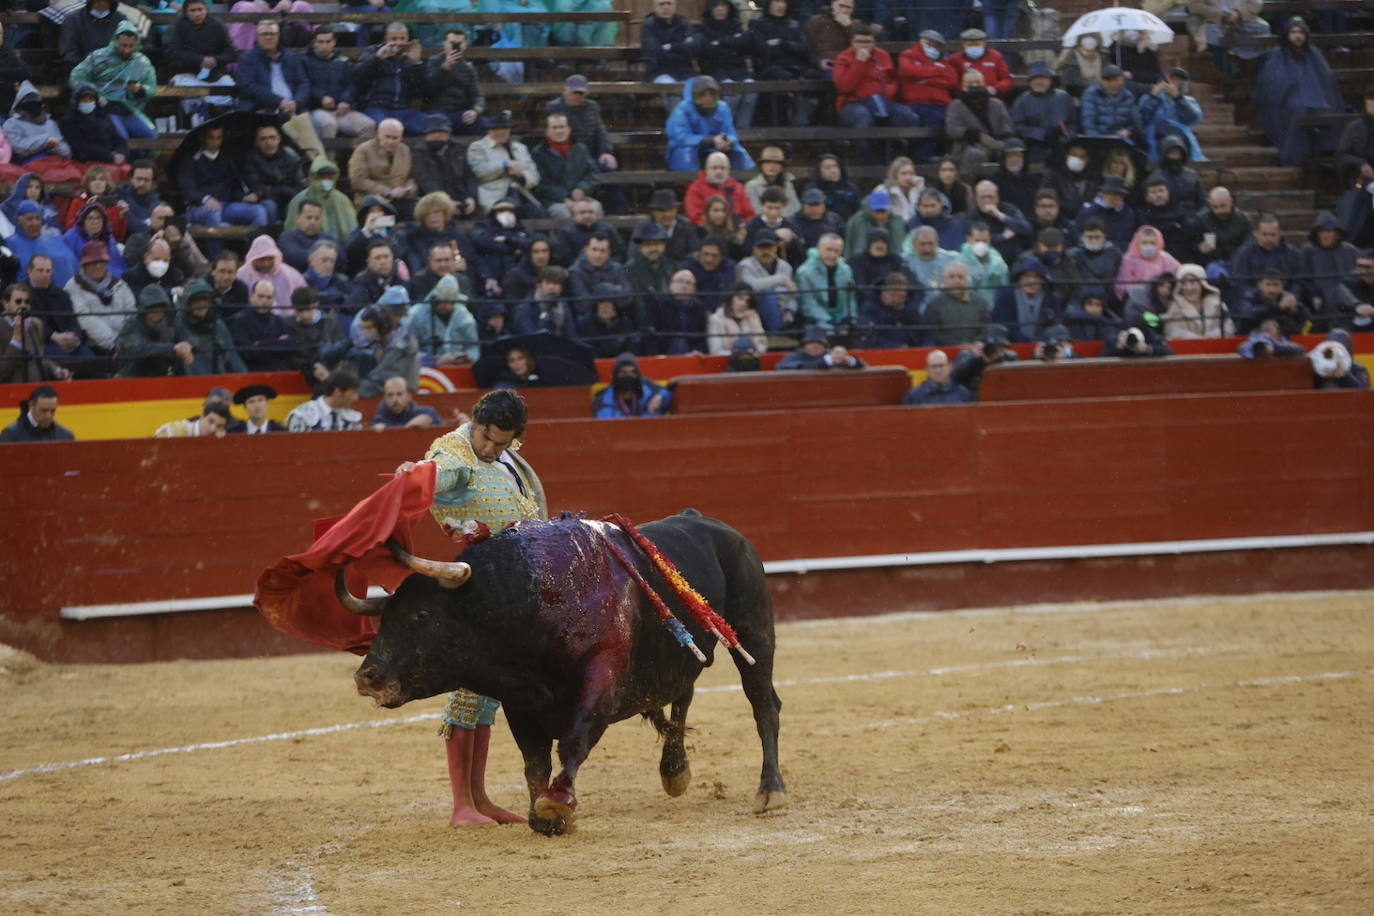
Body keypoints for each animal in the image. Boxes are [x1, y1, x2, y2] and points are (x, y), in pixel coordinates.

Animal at [339, 513, 791, 834]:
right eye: (383, 619)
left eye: (421, 614)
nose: (366, 677)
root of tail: (718, 526)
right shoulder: (520, 703)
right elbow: (534, 761)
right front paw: (543, 817)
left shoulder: (601, 684)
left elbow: (574, 741)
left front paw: (557, 802)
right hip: (682, 655)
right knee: (682, 698)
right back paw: (675, 772)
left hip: (754, 629)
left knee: (763, 703)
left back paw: (771, 791)